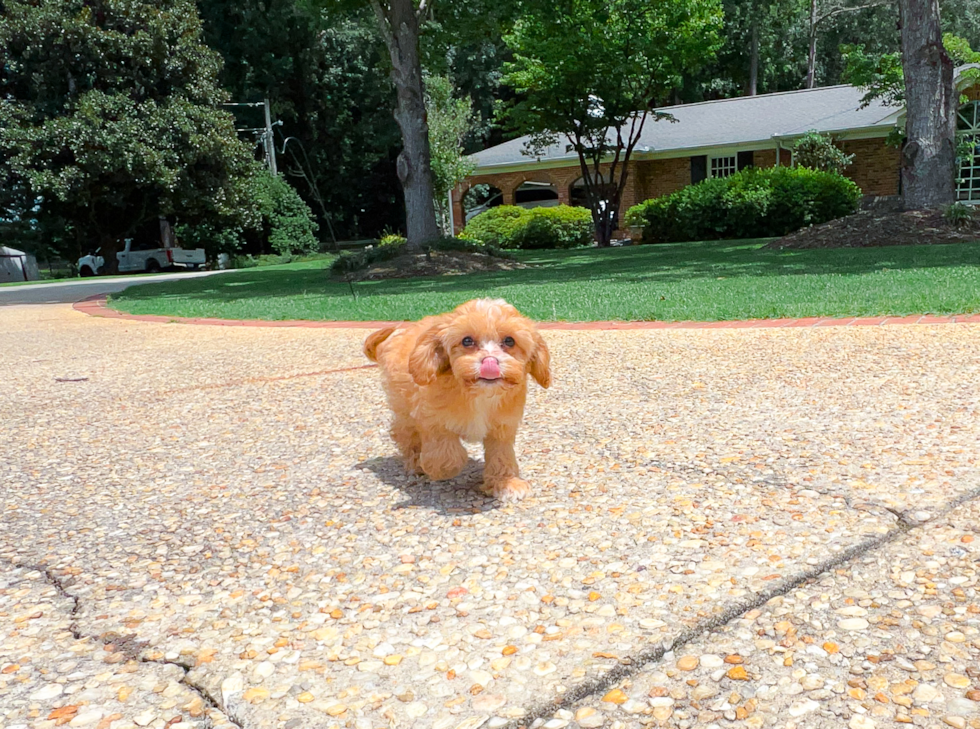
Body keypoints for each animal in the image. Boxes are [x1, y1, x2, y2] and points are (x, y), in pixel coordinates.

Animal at [368, 298, 552, 500]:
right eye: (467, 340)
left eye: (509, 341)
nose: (490, 361)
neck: (479, 394)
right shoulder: (432, 419)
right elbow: (446, 451)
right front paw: (442, 469)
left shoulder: (502, 426)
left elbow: (501, 454)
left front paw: (505, 483)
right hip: (404, 405)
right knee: (404, 433)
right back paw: (416, 463)